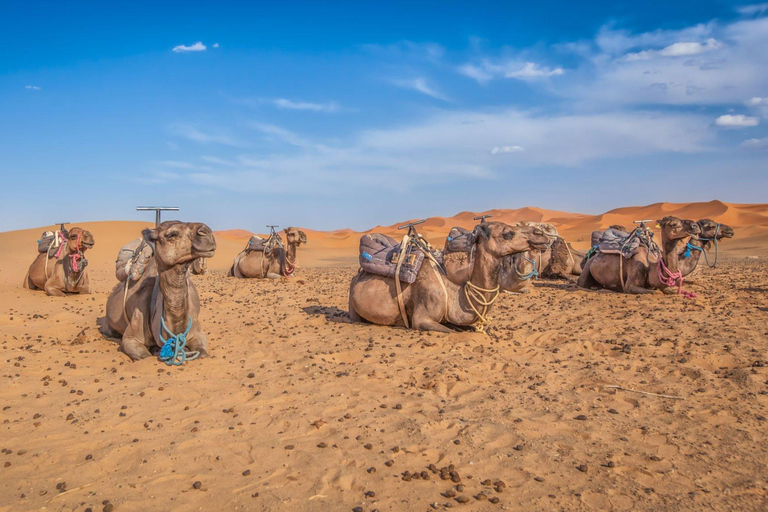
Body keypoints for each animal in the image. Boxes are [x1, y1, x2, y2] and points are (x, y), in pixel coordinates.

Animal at [102, 222, 216, 362]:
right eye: (171, 234)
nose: (206, 232)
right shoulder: (131, 337)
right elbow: (144, 356)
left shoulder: (197, 331)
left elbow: (202, 353)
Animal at [576, 217, 704, 296]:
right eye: (673, 224)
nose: (695, 226)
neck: (651, 266)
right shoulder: (630, 285)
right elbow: (656, 292)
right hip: (587, 267)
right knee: (582, 284)